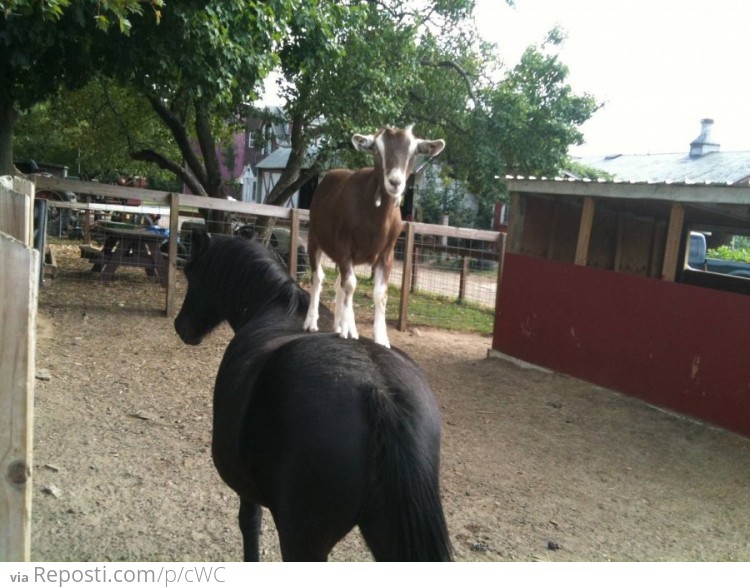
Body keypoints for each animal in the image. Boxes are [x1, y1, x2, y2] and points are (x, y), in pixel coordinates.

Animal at [175, 229, 452, 560]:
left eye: (191, 273)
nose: (181, 326)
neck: (279, 307)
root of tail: (379, 393)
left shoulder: (246, 490)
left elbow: (249, 525)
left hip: (303, 539)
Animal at [304, 124, 446, 344]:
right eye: (377, 150)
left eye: (414, 151)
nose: (395, 181)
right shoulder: (344, 247)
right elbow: (351, 285)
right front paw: (347, 330)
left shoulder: (386, 254)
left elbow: (379, 293)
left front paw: (380, 339)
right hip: (314, 238)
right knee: (318, 277)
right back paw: (312, 322)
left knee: (338, 284)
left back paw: (340, 325)